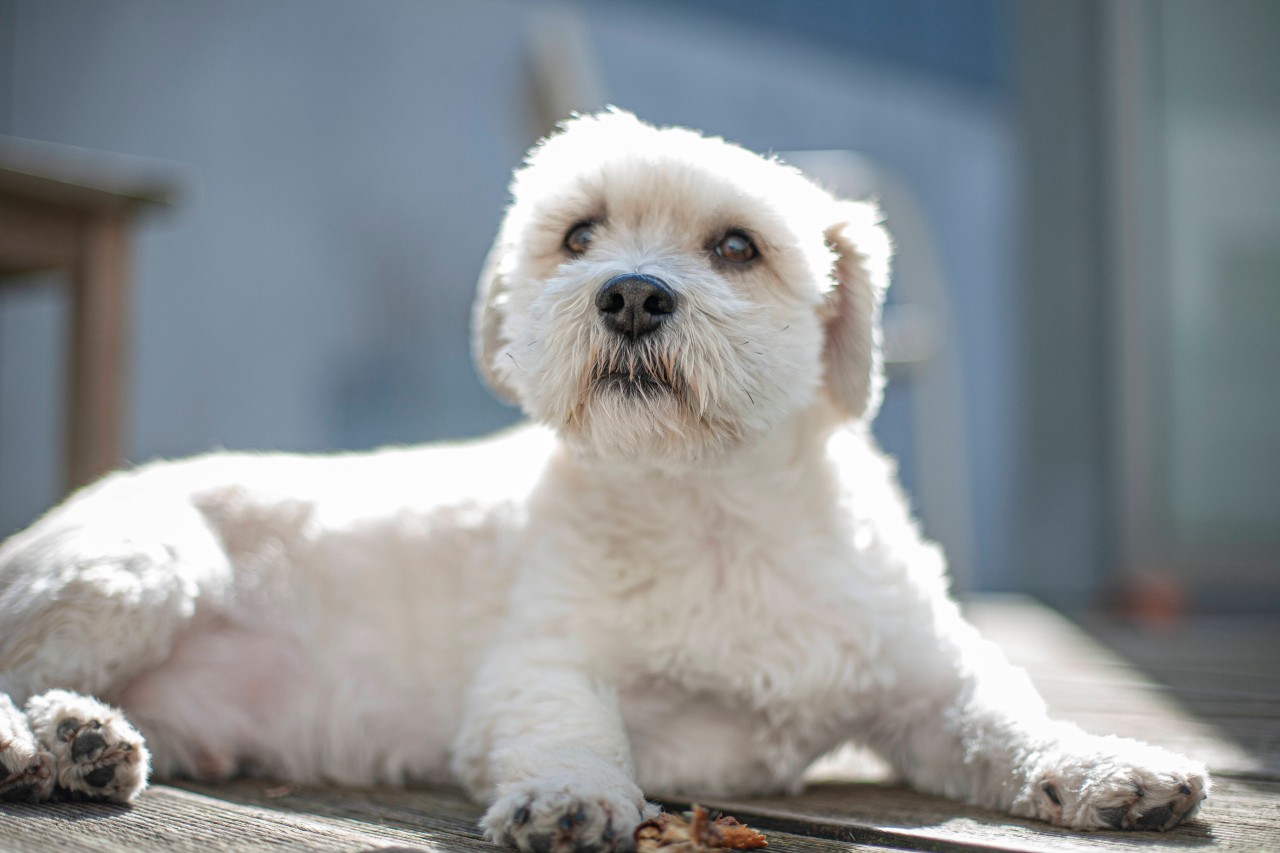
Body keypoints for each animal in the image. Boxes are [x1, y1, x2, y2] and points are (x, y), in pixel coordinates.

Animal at [0, 108, 1203, 845]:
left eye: (735, 247)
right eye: (578, 236)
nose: (628, 293)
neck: (712, 509)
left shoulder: (930, 683)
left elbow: (1011, 721)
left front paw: (1111, 768)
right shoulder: (538, 665)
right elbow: (570, 725)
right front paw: (571, 795)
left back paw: (79, 741)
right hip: (136, 567)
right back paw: (35, 743)